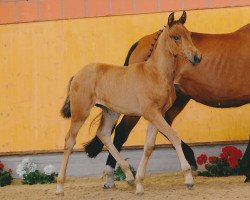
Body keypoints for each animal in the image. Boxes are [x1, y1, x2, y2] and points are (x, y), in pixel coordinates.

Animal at [56, 11, 201, 195]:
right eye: (176, 37)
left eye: (188, 35)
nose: (197, 57)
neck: (156, 73)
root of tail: (76, 75)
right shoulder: (151, 113)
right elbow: (174, 136)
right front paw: (188, 178)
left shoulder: (157, 114)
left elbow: (149, 147)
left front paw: (139, 183)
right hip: (81, 112)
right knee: (69, 141)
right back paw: (59, 187)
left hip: (110, 112)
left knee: (103, 134)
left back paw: (129, 177)